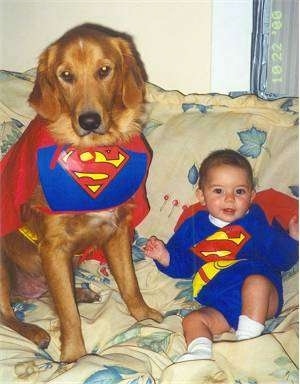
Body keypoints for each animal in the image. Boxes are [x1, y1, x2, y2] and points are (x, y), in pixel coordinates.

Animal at [0, 24, 163, 364]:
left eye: (104, 70)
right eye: (66, 75)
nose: (89, 121)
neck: (93, 154)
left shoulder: (117, 231)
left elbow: (129, 284)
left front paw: (143, 317)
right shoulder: (53, 247)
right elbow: (68, 315)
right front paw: (74, 357)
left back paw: (80, 292)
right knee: (7, 313)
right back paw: (36, 332)